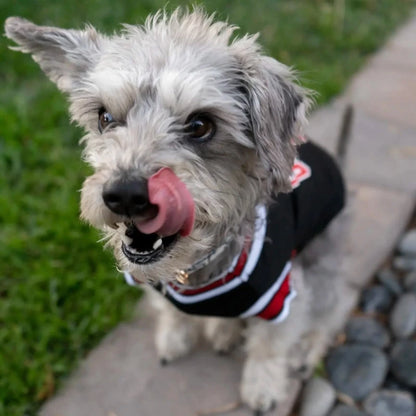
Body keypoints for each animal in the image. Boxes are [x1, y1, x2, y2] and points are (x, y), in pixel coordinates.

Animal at [5, 9, 352, 412]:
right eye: (105, 117)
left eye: (200, 125)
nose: (124, 195)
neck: (193, 269)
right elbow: (171, 312)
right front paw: (175, 336)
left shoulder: (281, 292)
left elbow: (271, 344)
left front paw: (262, 387)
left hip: (322, 266)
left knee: (332, 311)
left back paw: (304, 352)